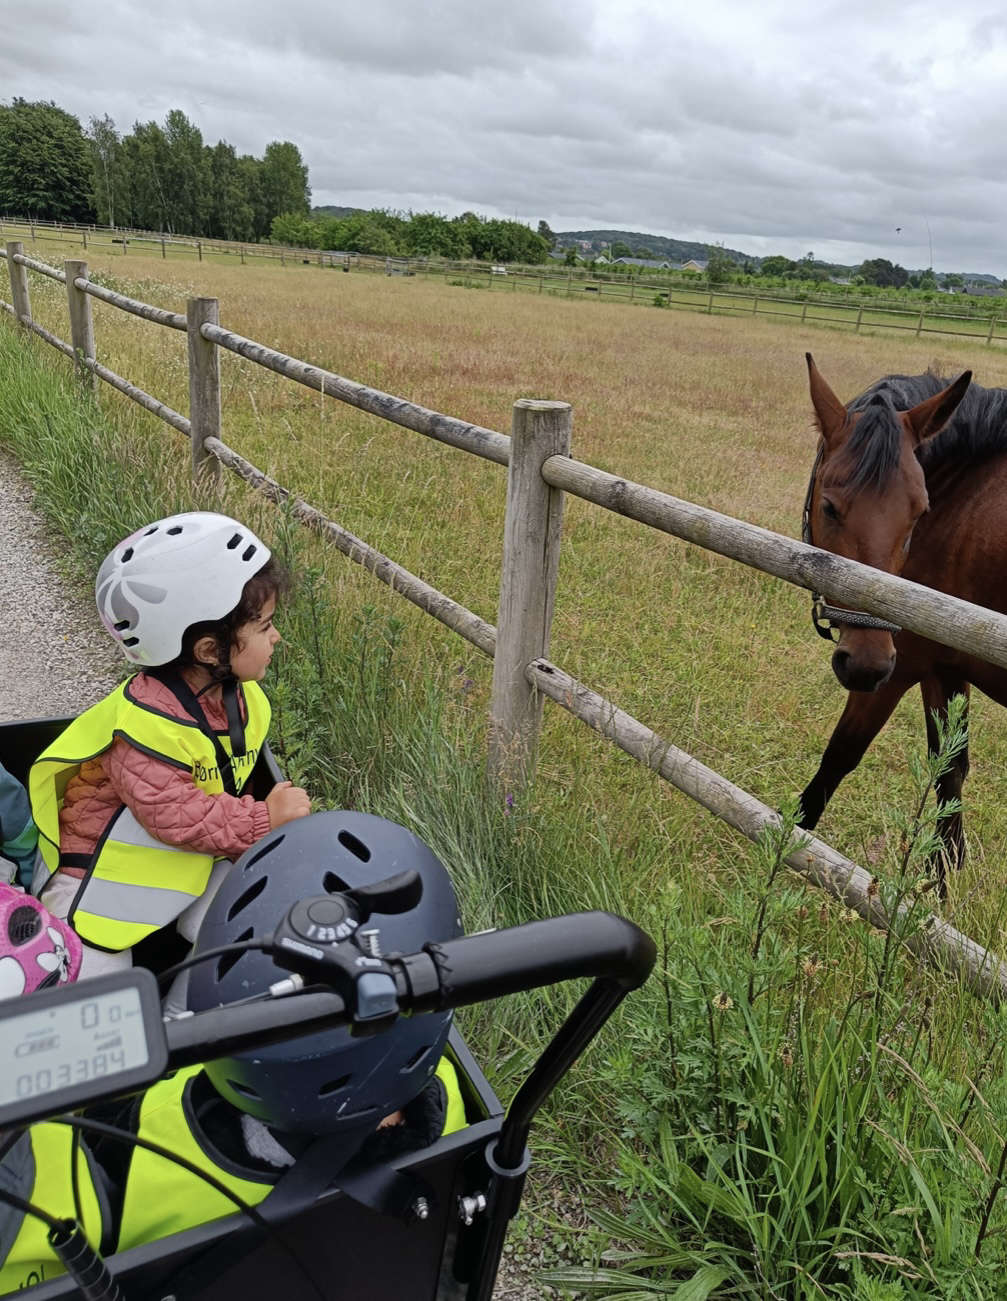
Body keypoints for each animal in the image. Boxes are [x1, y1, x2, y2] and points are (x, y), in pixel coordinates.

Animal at [796, 353, 1007, 884]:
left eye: (920, 511)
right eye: (829, 506)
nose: (866, 662)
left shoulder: (902, 668)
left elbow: (834, 764)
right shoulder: (945, 668)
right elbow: (949, 773)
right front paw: (938, 890)